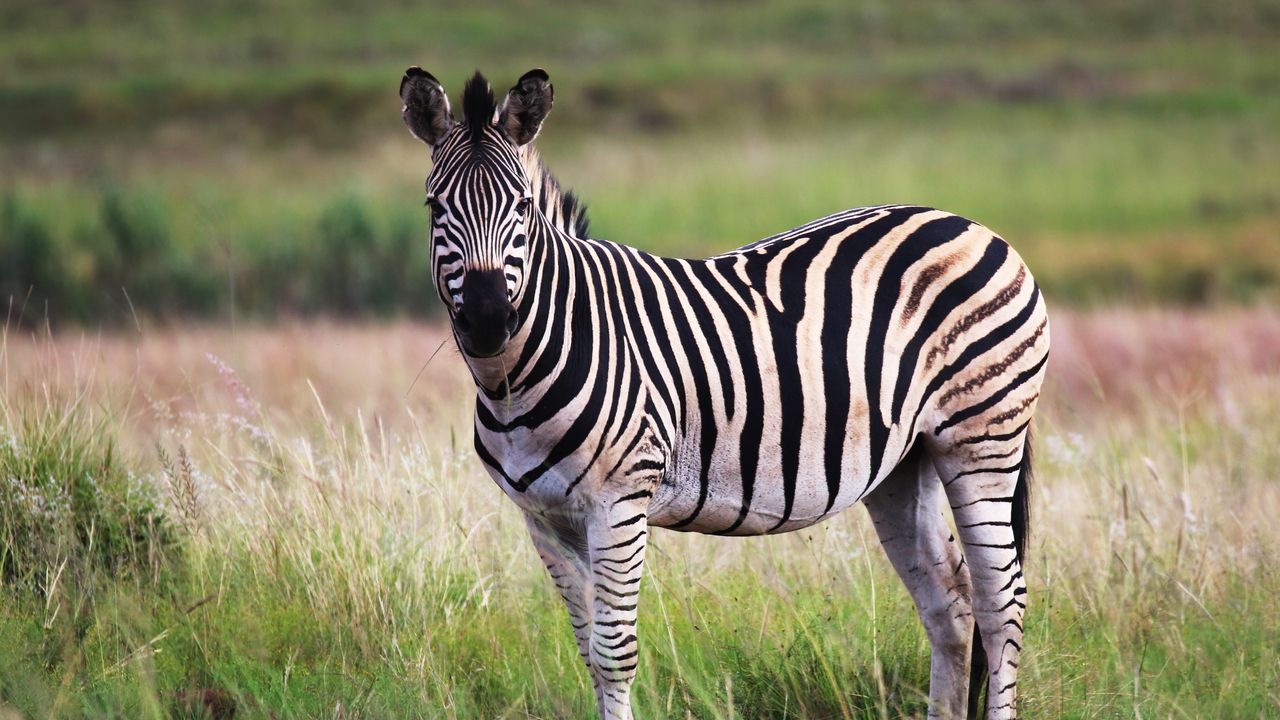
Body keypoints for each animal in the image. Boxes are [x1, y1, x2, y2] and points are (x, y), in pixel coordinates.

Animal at [399, 64, 1049, 712]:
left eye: (522, 206)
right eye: (434, 206)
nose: (488, 320)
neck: (517, 379)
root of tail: (969, 225)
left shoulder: (619, 501)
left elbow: (613, 654)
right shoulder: (544, 517)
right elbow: (586, 651)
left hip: (982, 435)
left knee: (1001, 603)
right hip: (905, 460)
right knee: (950, 602)